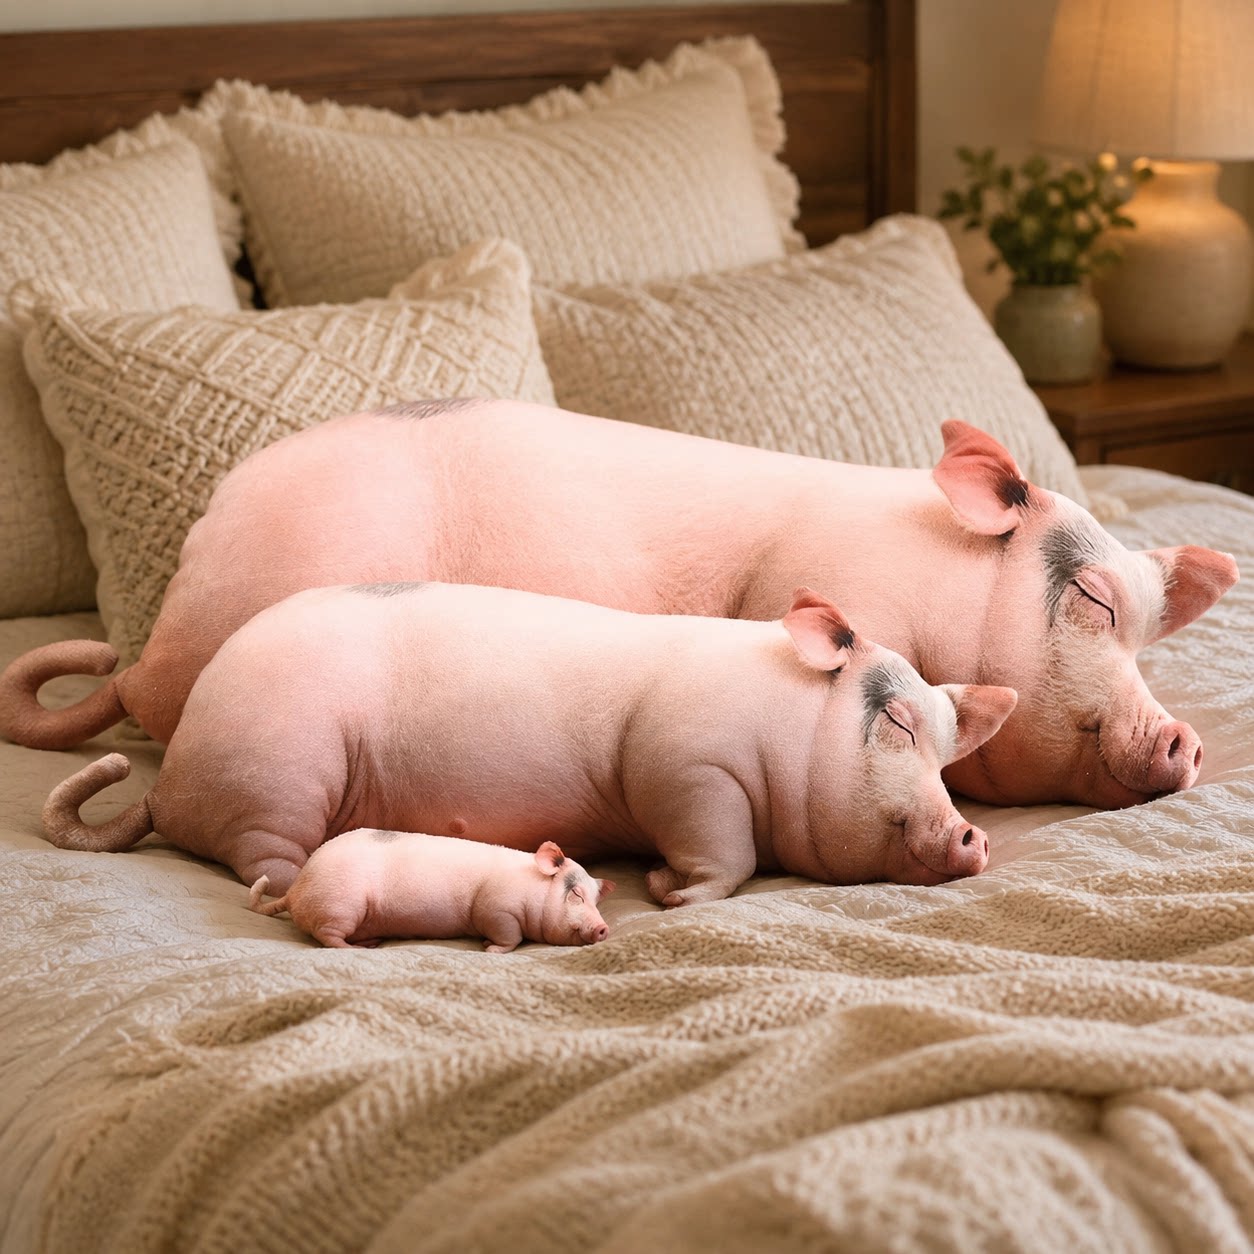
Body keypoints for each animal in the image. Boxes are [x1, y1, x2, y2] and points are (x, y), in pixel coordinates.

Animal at [40, 582, 1017, 903]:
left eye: (946, 755)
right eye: (895, 722)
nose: (973, 834)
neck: (789, 734)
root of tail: (165, 786)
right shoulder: (685, 764)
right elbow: (723, 853)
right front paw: (664, 894)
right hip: (279, 771)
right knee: (262, 860)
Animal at [248, 831, 614, 951]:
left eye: (597, 900)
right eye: (576, 894)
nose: (603, 927)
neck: (532, 888)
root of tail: (295, 890)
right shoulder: (496, 908)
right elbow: (508, 936)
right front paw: (490, 949)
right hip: (340, 905)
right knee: (328, 937)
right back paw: (363, 947)